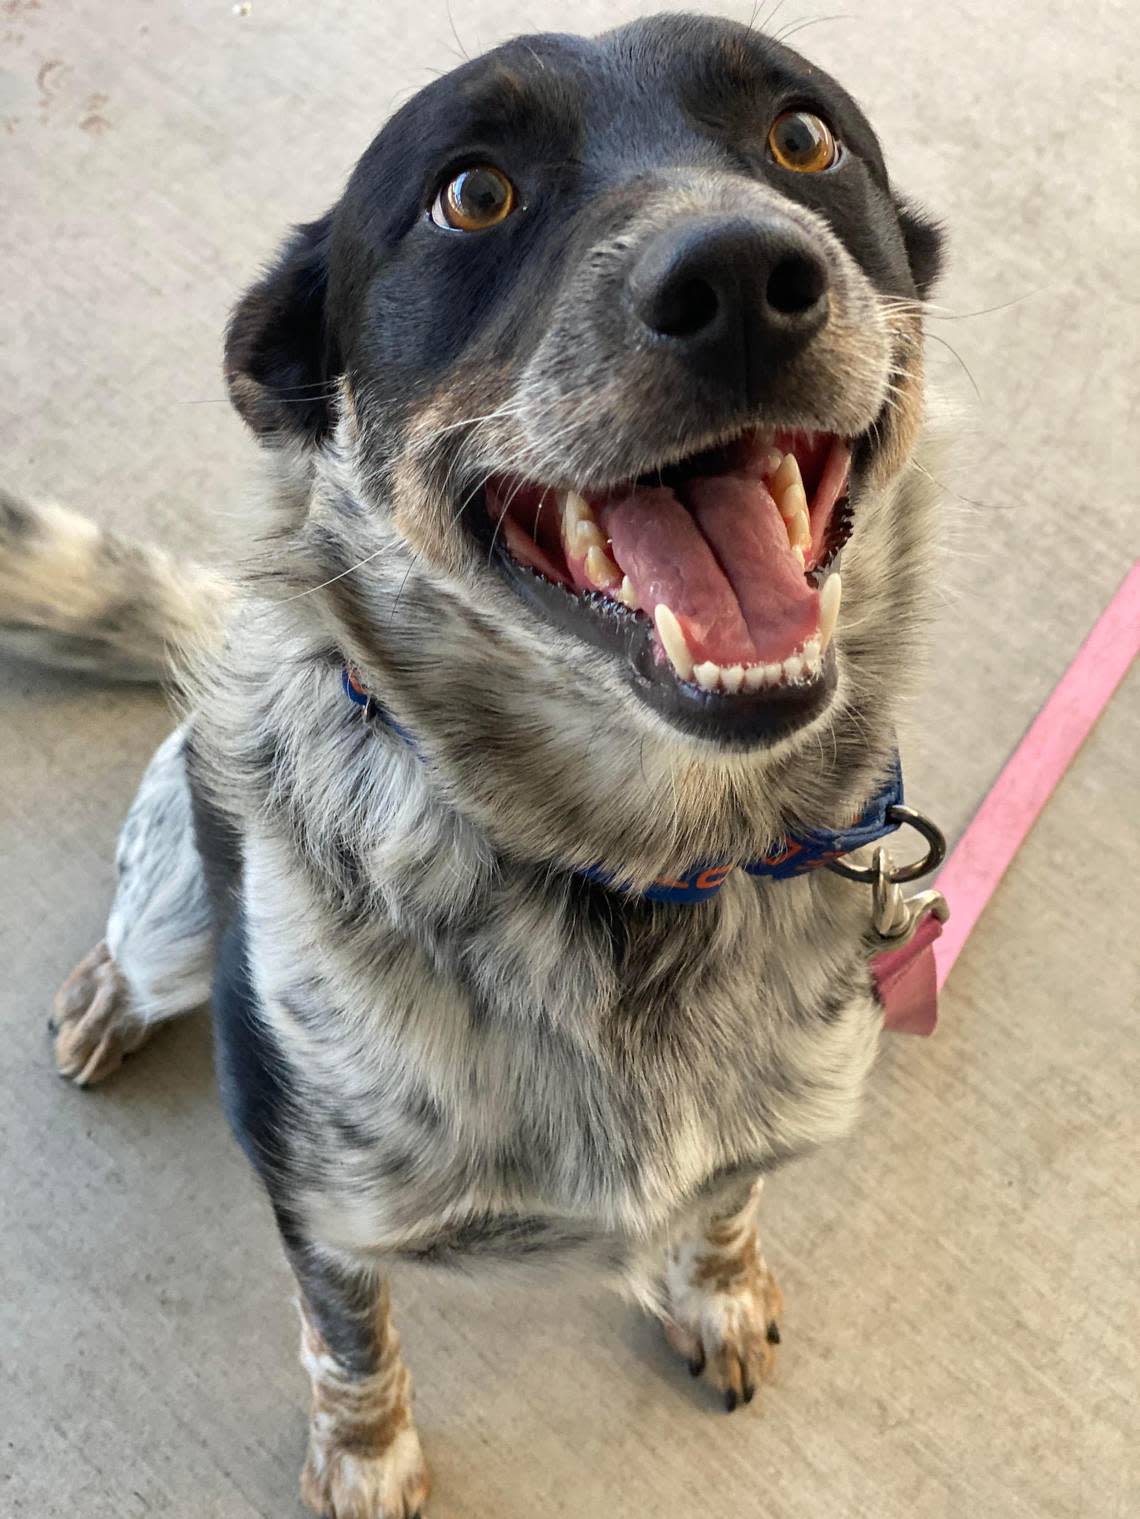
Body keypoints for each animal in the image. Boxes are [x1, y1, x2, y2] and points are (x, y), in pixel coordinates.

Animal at [0, 14, 948, 1519]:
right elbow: (351, 1347)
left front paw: (718, 1288)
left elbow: (727, 1204)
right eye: (472, 193)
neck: (633, 878)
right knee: (140, 934)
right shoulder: (321, 1200)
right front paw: (369, 1460)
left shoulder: (754, 1132)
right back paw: (104, 997)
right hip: (174, 908)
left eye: (805, 137)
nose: (743, 277)